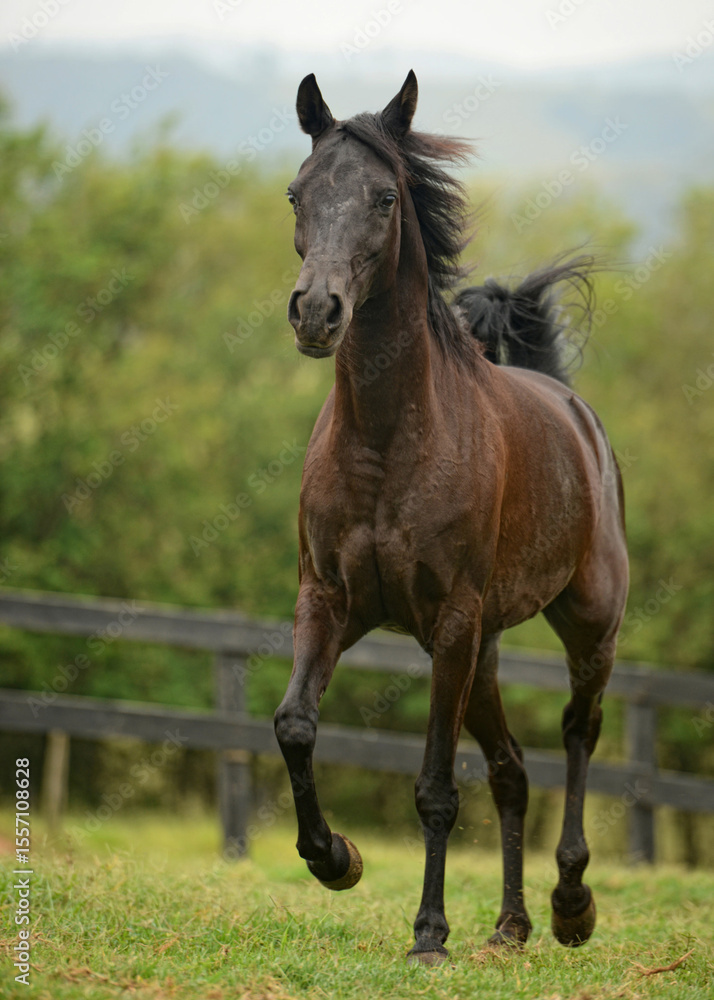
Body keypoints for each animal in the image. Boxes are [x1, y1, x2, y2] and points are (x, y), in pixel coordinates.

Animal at [274, 70, 628, 965]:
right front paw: (335, 859)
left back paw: (571, 906)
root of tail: (573, 410)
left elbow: (435, 786)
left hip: (582, 626)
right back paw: (511, 927)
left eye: (384, 196)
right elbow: (294, 724)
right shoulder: (330, 602)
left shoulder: (453, 620)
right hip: (481, 656)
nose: (316, 312)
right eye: (297, 191)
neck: (387, 442)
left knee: (578, 731)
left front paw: (429, 933)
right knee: (511, 770)